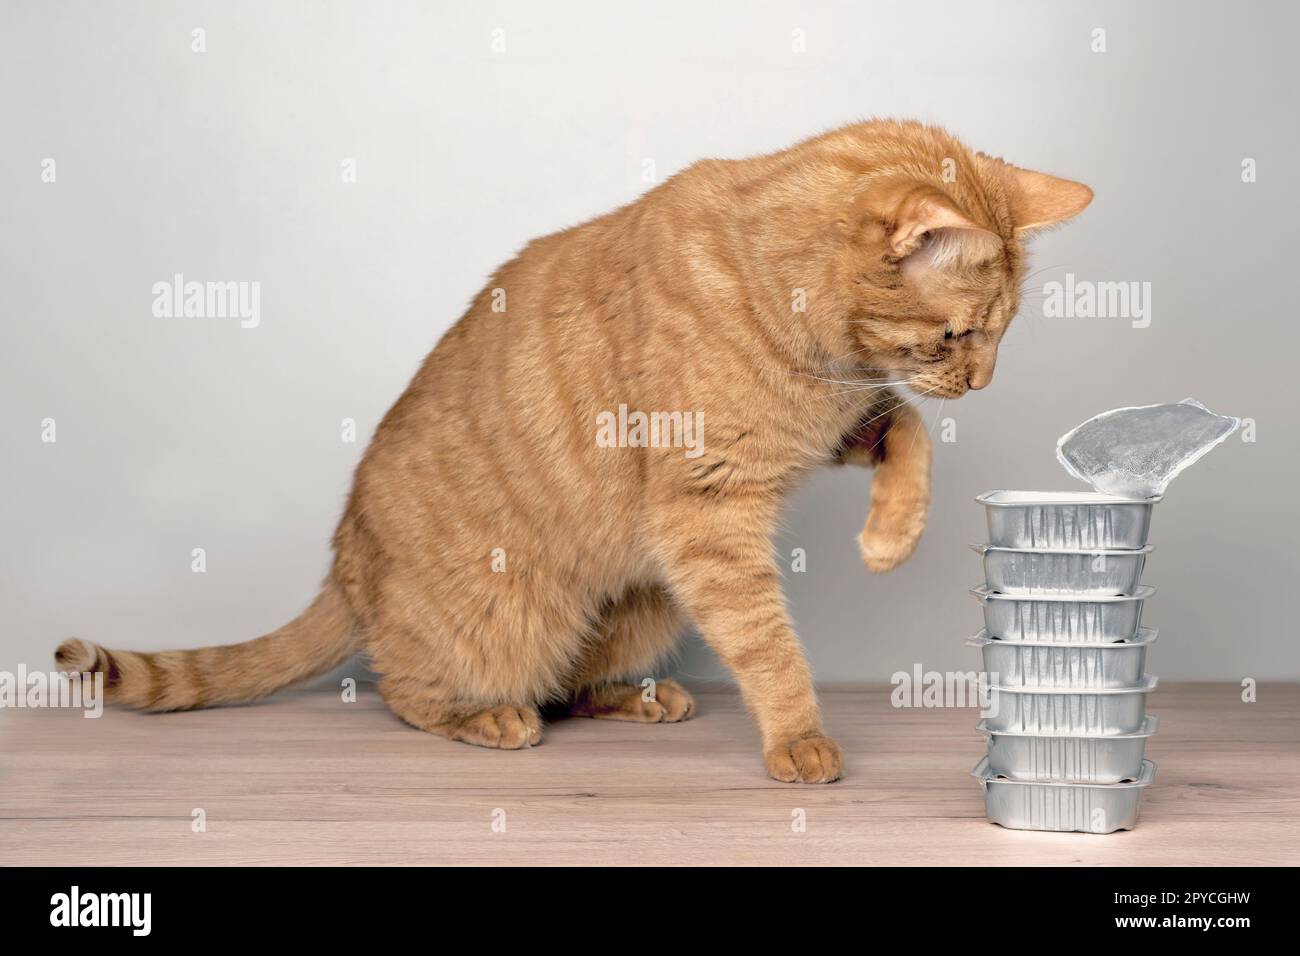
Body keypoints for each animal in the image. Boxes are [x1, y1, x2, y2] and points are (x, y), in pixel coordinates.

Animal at [63, 119, 1097, 780]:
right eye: (962, 335)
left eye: (1000, 335)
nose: (985, 384)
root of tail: (345, 562)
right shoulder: (709, 515)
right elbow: (769, 644)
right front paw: (798, 736)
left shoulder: (831, 428)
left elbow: (910, 431)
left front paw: (893, 537)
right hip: (511, 619)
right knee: (409, 689)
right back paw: (489, 718)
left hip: (649, 599)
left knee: (573, 686)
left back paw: (639, 700)